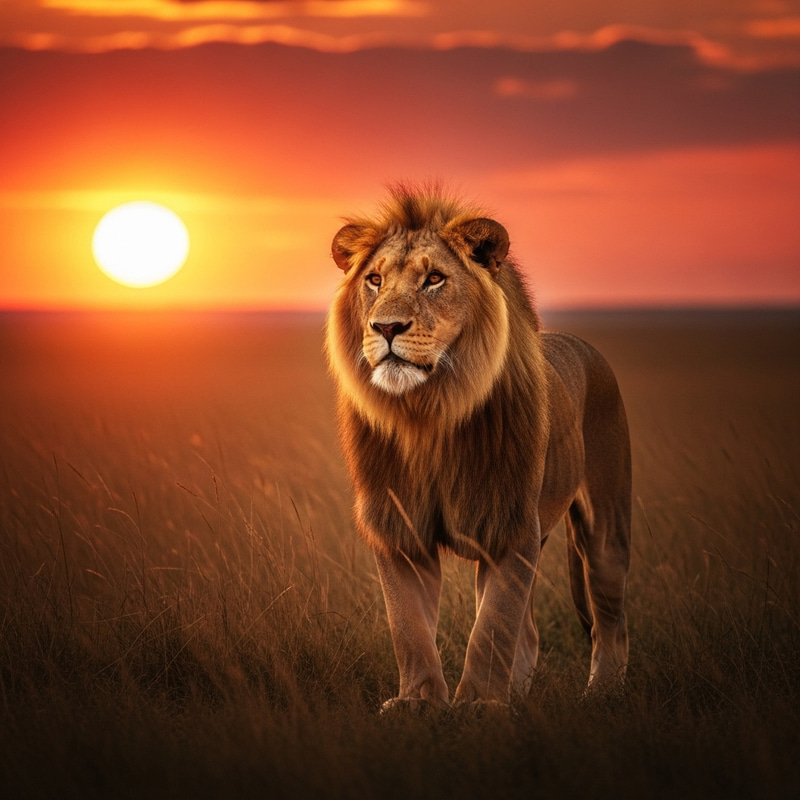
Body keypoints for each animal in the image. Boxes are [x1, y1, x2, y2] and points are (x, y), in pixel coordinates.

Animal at [325, 185, 631, 709]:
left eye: (433, 279)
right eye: (374, 280)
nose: (386, 327)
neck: (429, 416)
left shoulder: (508, 524)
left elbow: (492, 626)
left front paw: (479, 705)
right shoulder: (400, 527)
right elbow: (408, 625)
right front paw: (418, 701)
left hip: (605, 523)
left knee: (610, 619)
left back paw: (603, 693)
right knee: (530, 632)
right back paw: (521, 693)